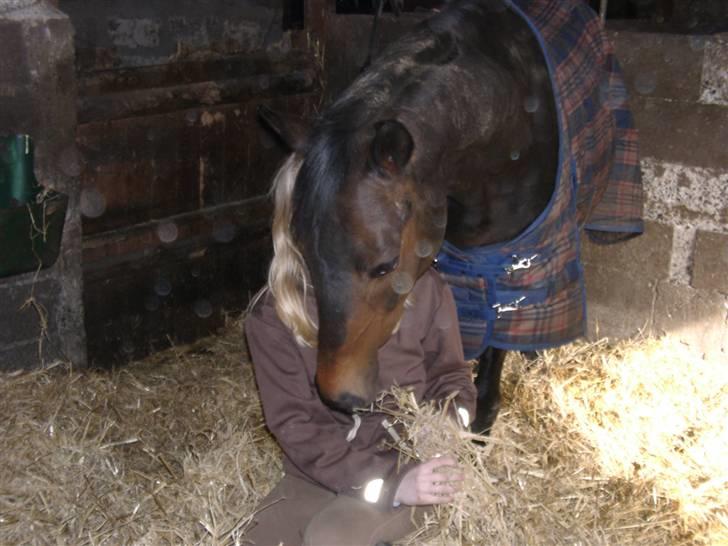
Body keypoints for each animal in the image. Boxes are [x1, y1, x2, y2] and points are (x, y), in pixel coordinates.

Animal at [258, 0, 644, 434]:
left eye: (384, 266)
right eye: (303, 254)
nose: (337, 394)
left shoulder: (512, 262)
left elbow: (498, 338)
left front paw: (481, 420)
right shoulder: (453, 259)